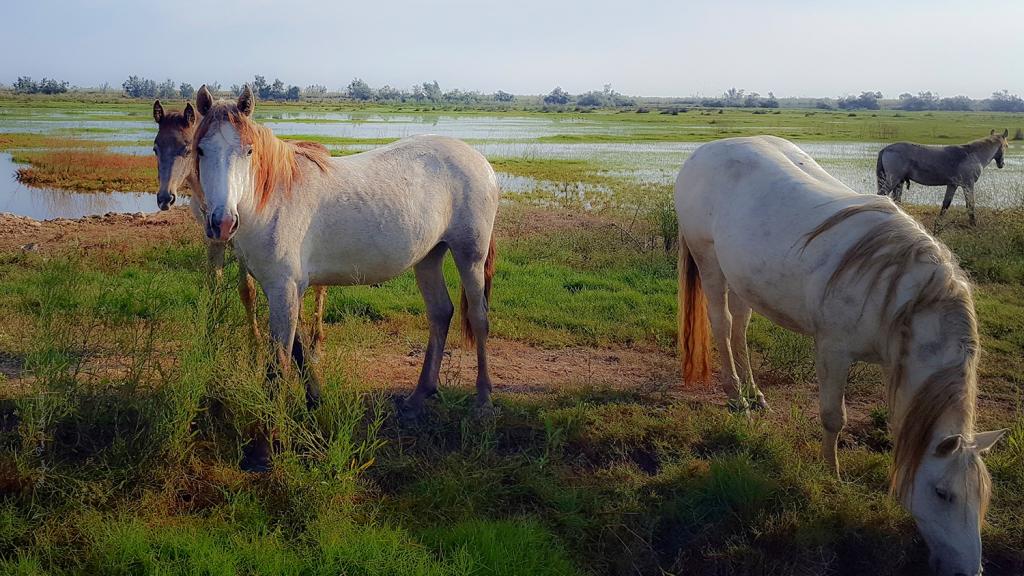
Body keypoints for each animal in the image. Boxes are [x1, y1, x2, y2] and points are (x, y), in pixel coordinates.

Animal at [152, 100, 328, 384]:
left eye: (186, 149)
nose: (165, 199)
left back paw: (314, 347)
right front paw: (208, 343)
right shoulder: (213, 239)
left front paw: (254, 352)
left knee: (321, 289)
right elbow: (213, 285)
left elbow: (247, 292)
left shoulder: (240, 243)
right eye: (156, 147)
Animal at [192, 85, 499, 472]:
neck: (271, 198)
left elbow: (278, 365)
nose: (222, 223)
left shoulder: (284, 288)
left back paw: (483, 402)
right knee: (440, 314)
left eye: (248, 151)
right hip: (429, 256)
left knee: (478, 317)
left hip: (469, 254)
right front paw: (315, 404)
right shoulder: (281, 288)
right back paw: (417, 399)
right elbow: (299, 351)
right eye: (201, 150)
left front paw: (263, 449)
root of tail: (480, 161)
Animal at [876, 130, 1009, 228]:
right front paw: (973, 224)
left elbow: (946, 204)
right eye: (1006, 146)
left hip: (899, 182)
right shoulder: (968, 184)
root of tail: (886, 149)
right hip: (893, 180)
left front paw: (938, 225)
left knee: (895, 200)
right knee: (882, 195)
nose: (1002, 164)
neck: (972, 155)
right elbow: (970, 205)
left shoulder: (953, 185)